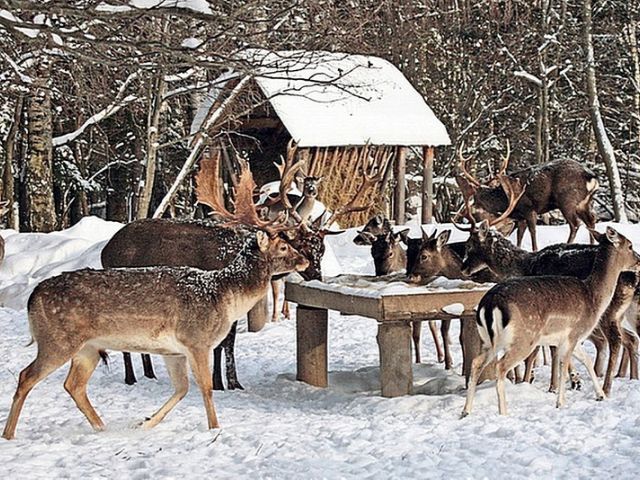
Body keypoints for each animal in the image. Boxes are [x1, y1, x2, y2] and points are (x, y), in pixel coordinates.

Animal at [0, 160, 310, 438]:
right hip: (57, 340)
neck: (223, 296)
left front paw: (146, 422)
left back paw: (102, 427)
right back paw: (10, 434)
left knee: (73, 385)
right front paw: (215, 429)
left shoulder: (174, 352)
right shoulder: (196, 339)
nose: (305, 260)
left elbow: (182, 389)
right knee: (26, 376)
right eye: (283, 246)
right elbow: (206, 388)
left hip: (88, 348)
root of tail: (32, 297)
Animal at [456, 141, 600, 251]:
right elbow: (519, 236)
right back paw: (592, 245)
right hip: (585, 203)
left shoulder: (529, 209)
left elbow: (533, 232)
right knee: (591, 220)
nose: (463, 212)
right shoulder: (520, 217)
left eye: (475, 198)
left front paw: (535, 250)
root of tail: (591, 177)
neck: (505, 200)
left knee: (575, 224)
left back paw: (567, 245)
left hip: (567, 200)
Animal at [460, 227, 640, 418]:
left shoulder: (572, 338)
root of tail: (489, 304)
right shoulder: (572, 334)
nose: (638, 260)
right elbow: (564, 363)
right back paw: (503, 412)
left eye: (470, 245)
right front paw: (561, 400)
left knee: (476, 362)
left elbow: (585, 360)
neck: (593, 296)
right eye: (630, 245)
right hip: (524, 338)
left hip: (490, 341)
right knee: (500, 366)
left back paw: (466, 411)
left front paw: (597, 395)